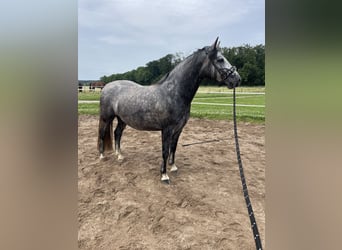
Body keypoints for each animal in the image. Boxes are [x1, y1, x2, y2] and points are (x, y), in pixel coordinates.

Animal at [96, 37, 240, 183]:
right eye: (220, 59)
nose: (237, 79)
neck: (174, 93)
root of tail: (106, 86)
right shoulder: (167, 129)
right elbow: (165, 151)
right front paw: (164, 175)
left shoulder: (178, 129)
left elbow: (173, 148)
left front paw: (173, 167)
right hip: (106, 118)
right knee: (102, 133)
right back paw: (102, 156)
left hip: (122, 120)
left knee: (117, 133)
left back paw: (119, 155)